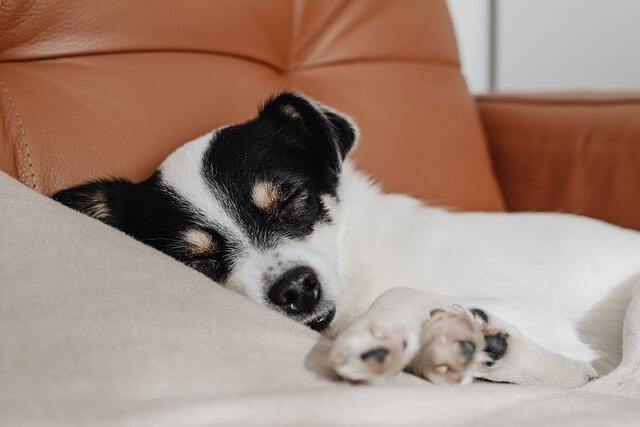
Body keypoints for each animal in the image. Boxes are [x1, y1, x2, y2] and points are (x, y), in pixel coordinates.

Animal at [53, 93, 640, 392]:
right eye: (199, 263)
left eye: (292, 201)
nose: (295, 289)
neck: (359, 266)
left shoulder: (545, 317)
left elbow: (402, 291)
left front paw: (377, 335)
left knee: (607, 382)